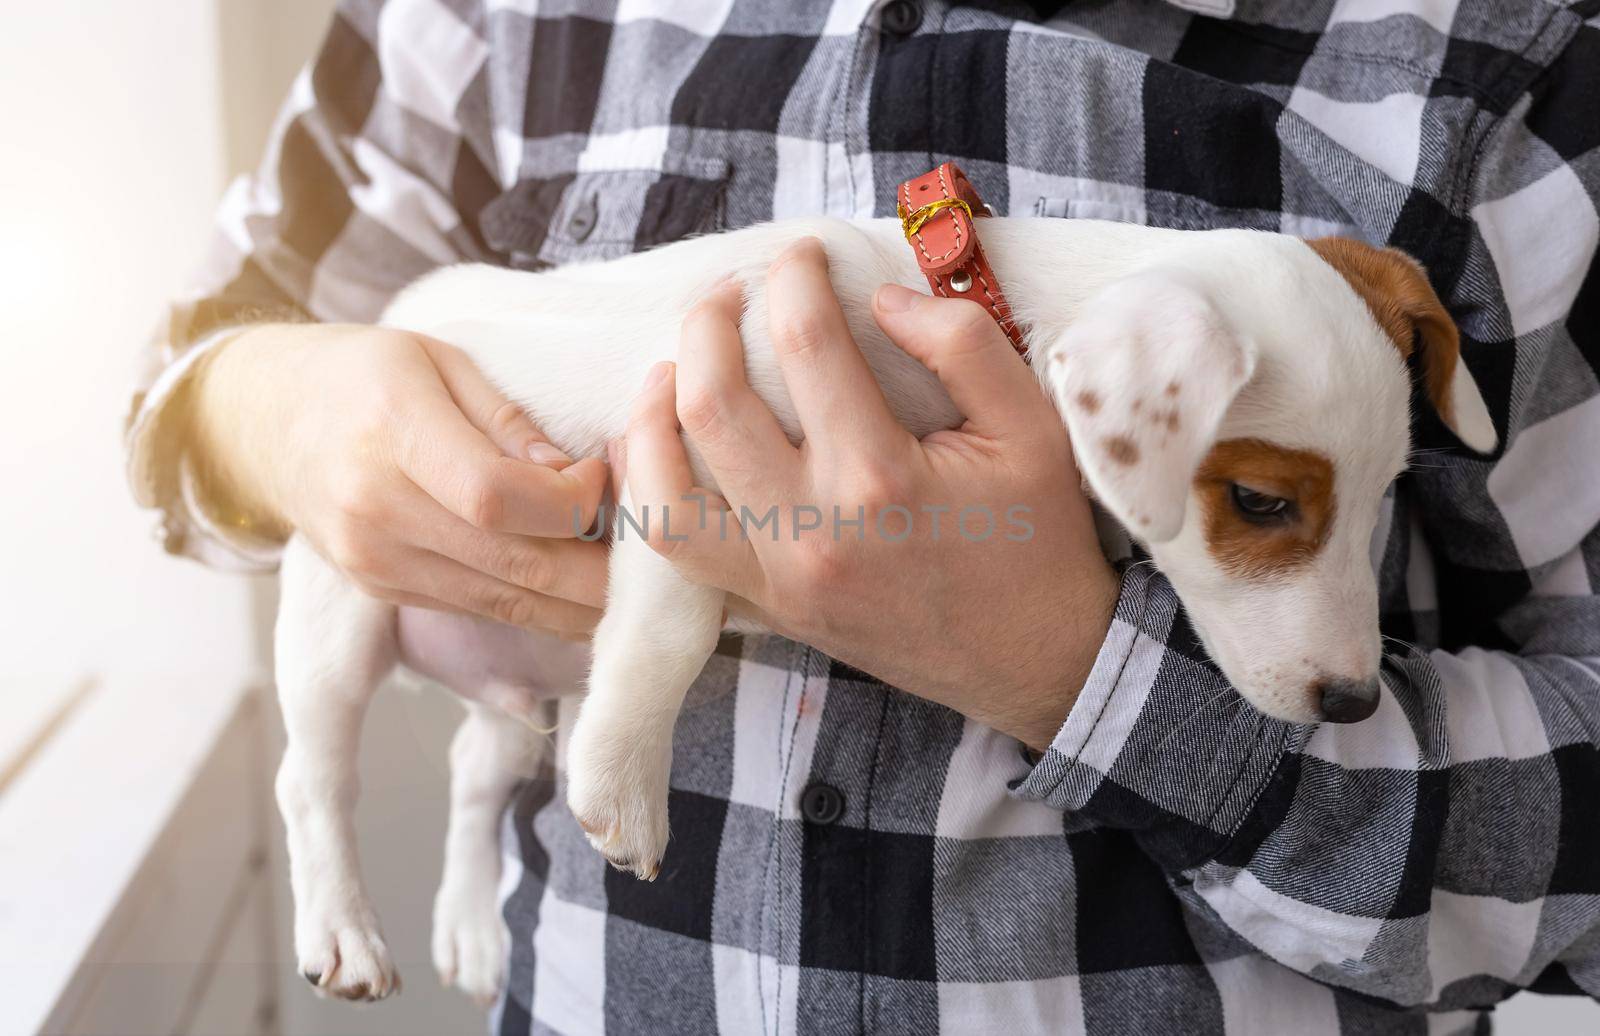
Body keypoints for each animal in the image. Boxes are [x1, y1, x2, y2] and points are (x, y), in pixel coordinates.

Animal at [265, 182, 1497, 997]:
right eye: (1258, 501)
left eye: (1389, 490)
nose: (1354, 704)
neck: (974, 309)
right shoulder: (693, 442)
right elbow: (671, 624)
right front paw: (622, 783)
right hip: (335, 620)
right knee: (309, 777)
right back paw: (344, 929)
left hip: (516, 678)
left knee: (477, 767)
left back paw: (471, 922)